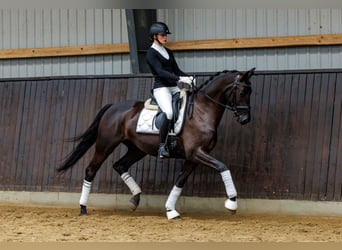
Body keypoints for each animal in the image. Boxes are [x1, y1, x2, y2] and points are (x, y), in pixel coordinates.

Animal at [56, 68, 254, 219]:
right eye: (242, 92)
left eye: (250, 92)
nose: (245, 119)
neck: (201, 111)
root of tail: (113, 107)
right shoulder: (196, 152)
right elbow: (223, 166)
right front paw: (232, 203)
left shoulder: (193, 157)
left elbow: (180, 181)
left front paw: (170, 210)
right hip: (105, 145)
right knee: (91, 170)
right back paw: (83, 208)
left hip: (137, 149)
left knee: (119, 165)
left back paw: (135, 199)